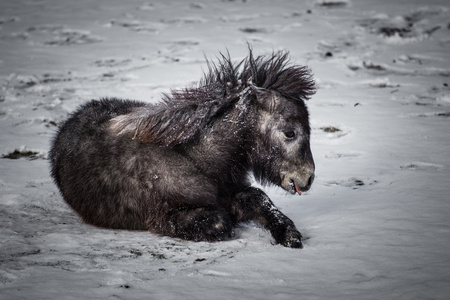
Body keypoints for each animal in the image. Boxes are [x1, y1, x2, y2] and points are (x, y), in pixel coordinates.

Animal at [50, 48, 316, 247]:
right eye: (290, 132)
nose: (308, 177)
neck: (199, 160)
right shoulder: (163, 216)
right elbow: (221, 221)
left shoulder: (233, 191)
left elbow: (259, 198)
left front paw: (288, 234)